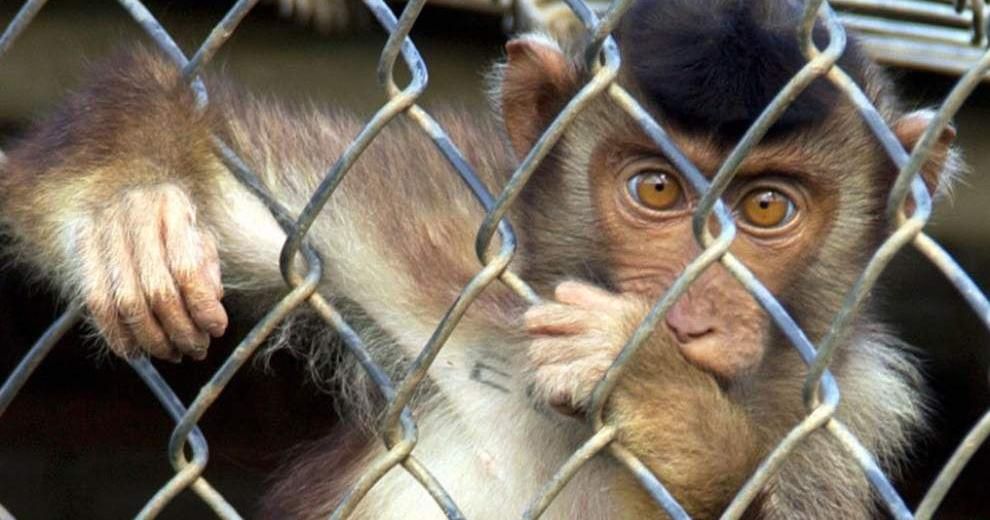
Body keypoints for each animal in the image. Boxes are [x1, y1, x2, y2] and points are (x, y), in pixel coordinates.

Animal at [0, 0, 962, 518]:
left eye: (766, 209)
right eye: (655, 189)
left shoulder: (842, 421)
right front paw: (129, 207)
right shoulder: (440, 235)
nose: (690, 313)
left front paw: (663, 397)